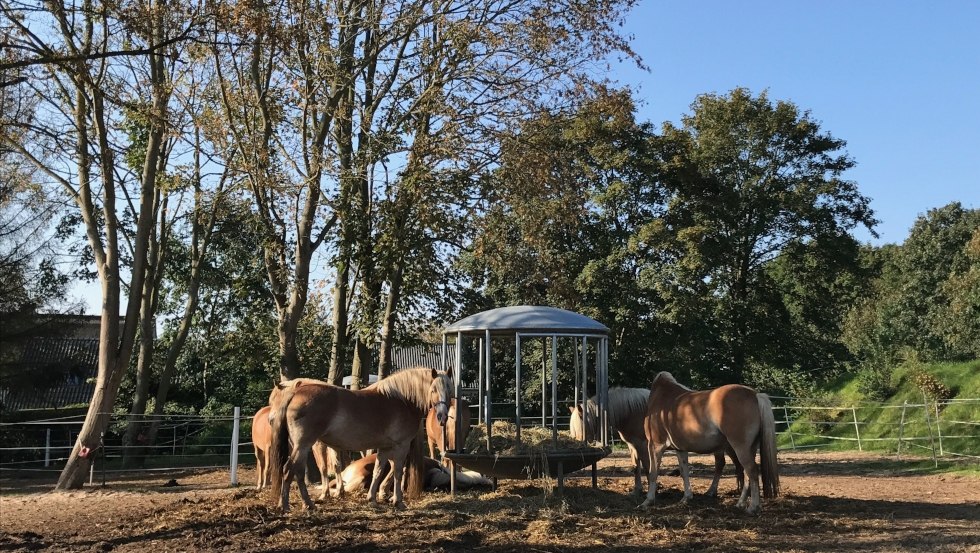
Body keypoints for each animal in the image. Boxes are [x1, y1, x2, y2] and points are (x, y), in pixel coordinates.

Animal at [266, 366, 454, 508]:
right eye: (433, 389)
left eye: (450, 390)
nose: (442, 417)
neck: (403, 400)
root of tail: (297, 393)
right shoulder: (401, 446)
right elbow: (398, 472)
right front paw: (398, 502)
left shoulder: (385, 447)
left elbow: (378, 471)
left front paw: (372, 499)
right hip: (304, 445)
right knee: (289, 469)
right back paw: (287, 505)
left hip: (302, 446)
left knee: (296, 471)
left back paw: (306, 504)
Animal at [568, 386, 744, 498]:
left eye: (580, 427)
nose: (578, 445)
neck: (633, 412)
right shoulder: (633, 446)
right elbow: (635, 468)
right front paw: (636, 491)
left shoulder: (644, 445)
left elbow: (648, 468)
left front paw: (652, 492)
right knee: (733, 465)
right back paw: (736, 489)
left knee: (724, 464)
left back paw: (715, 491)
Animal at [636, 370, 780, 512]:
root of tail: (755, 395)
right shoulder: (680, 449)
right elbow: (684, 471)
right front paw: (686, 498)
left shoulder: (655, 445)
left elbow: (653, 472)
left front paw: (647, 501)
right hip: (749, 448)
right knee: (747, 473)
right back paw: (740, 503)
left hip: (740, 447)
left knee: (752, 471)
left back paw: (753, 506)